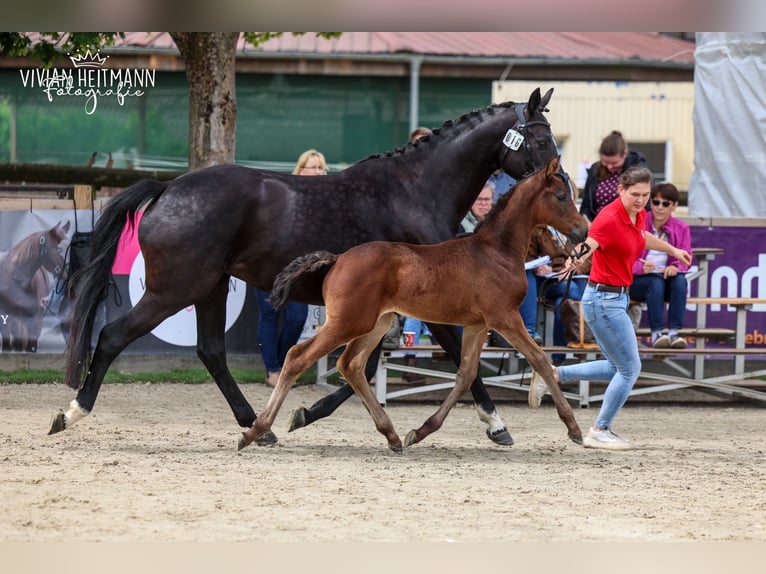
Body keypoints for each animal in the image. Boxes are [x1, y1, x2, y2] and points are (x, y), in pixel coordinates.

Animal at [239, 156, 587, 451]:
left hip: (376, 322)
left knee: (350, 365)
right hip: (348, 322)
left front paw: (420, 432)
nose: (583, 230)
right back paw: (255, 430)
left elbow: (466, 374)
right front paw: (574, 429)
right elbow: (540, 359)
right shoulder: (504, 317)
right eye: (560, 195)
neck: (495, 250)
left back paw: (392, 435)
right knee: (298, 356)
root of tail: (337, 259)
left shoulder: (476, 325)